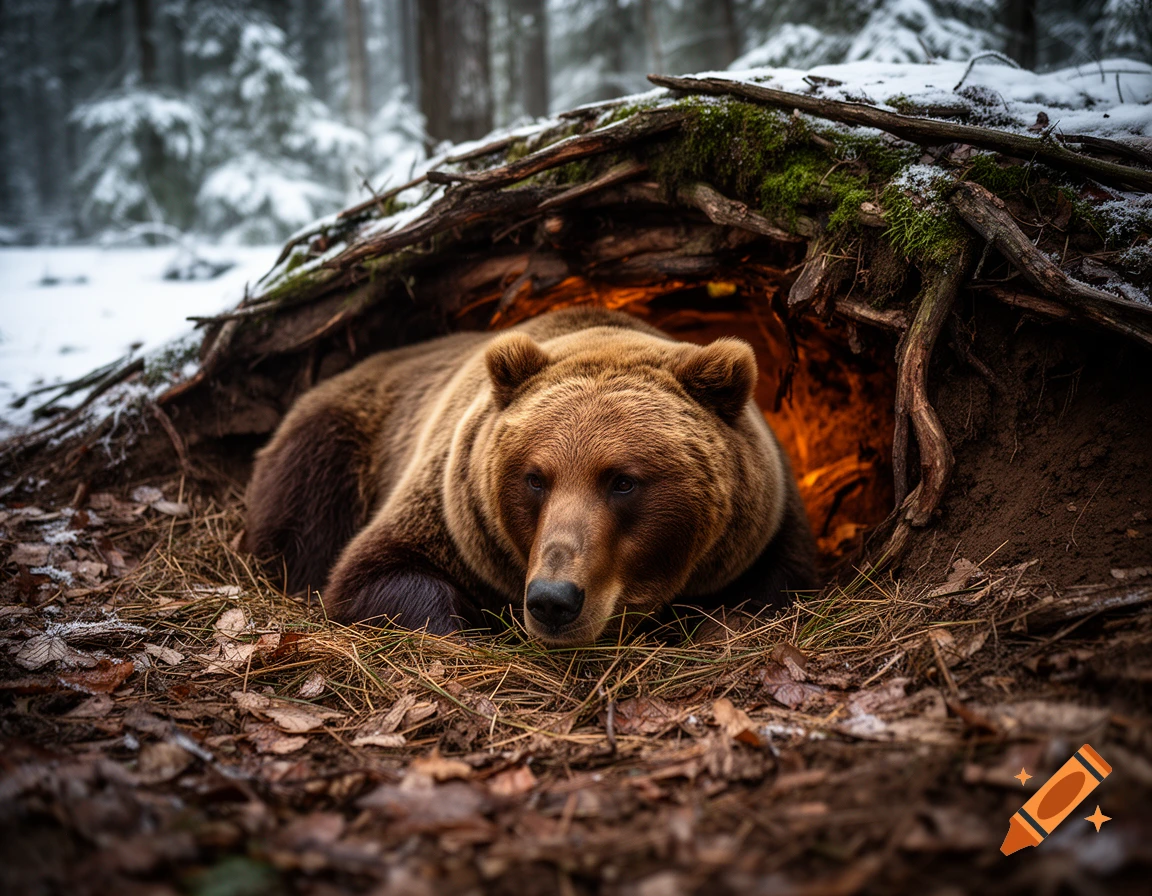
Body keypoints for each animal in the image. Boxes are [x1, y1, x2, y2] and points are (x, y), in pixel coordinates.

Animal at [244, 306, 818, 646]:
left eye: (623, 481)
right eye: (535, 478)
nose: (553, 599)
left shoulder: (765, 529)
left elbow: (775, 590)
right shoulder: (452, 511)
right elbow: (374, 574)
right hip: (340, 440)